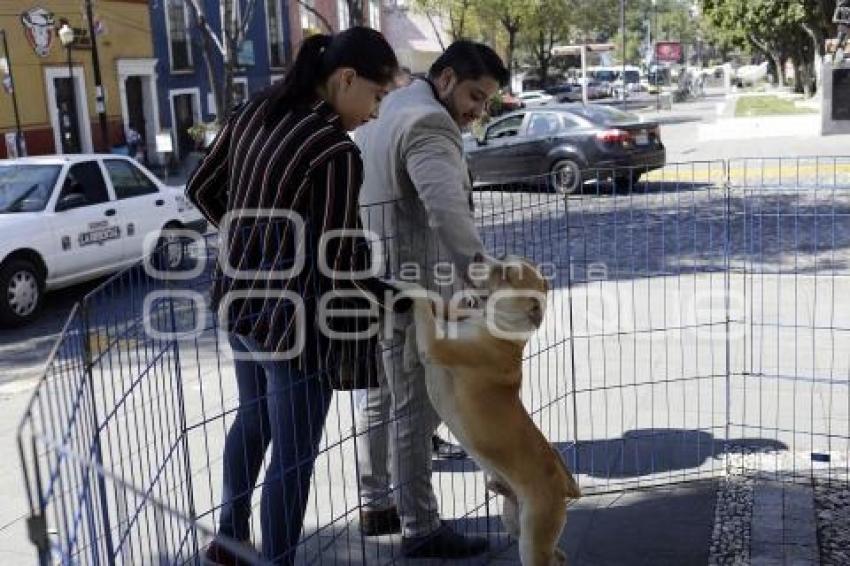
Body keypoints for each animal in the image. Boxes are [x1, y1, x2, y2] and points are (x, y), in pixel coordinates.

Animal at [400, 258, 580, 566]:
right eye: (503, 257)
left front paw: (406, 285)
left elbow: (424, 304)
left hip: (533, 539)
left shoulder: (436, 346)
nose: (477, 256)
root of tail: (562, 482)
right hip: (514, 522)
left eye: (506, 274)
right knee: (557, 555)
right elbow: (438, 310)